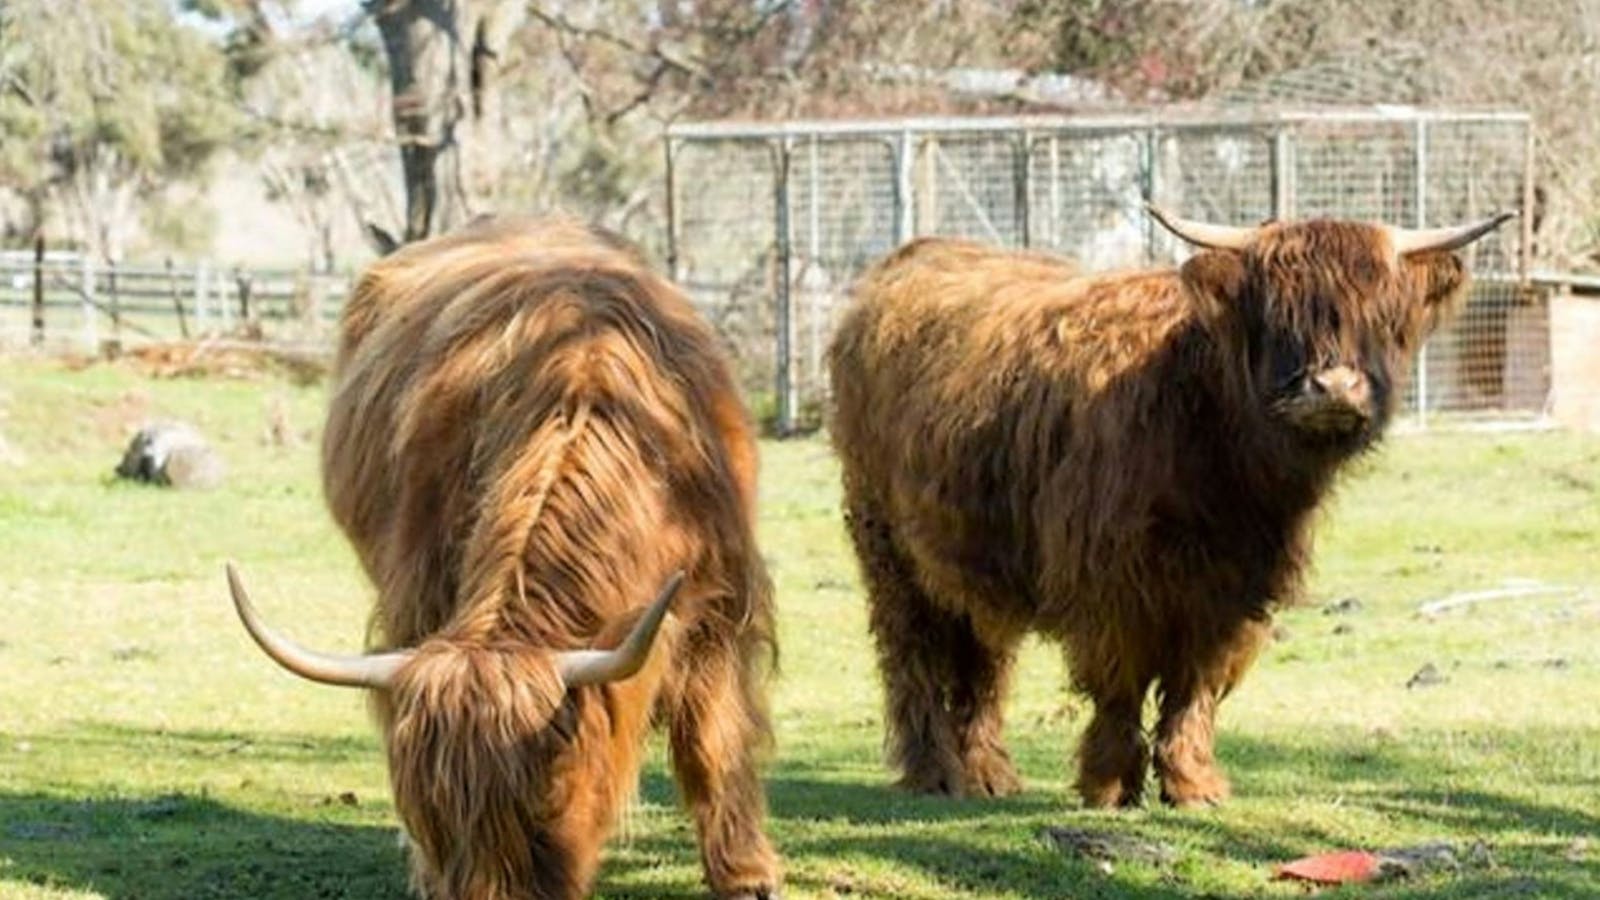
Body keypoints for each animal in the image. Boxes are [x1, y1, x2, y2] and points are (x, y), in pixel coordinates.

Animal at [227, 217, 782, 900]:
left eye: (546, 802)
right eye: (430, 814)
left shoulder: (722, 601)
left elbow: (713, 737)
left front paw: (746, 873)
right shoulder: (416, 591)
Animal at [827, 206, 1511, 809]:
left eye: (1382, 316)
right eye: (1276, 313)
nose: (1333, 388)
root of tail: (911, 257)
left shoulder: (1234, 593)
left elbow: (1196, 689)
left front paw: (1192, 784)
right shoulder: (1111, 586)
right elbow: (1120, 684)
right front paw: (1108, 784)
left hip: (973, 556)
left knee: (983, 658)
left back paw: (989, 774)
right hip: (886, 546)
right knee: (911, 655)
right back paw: (934, 773)